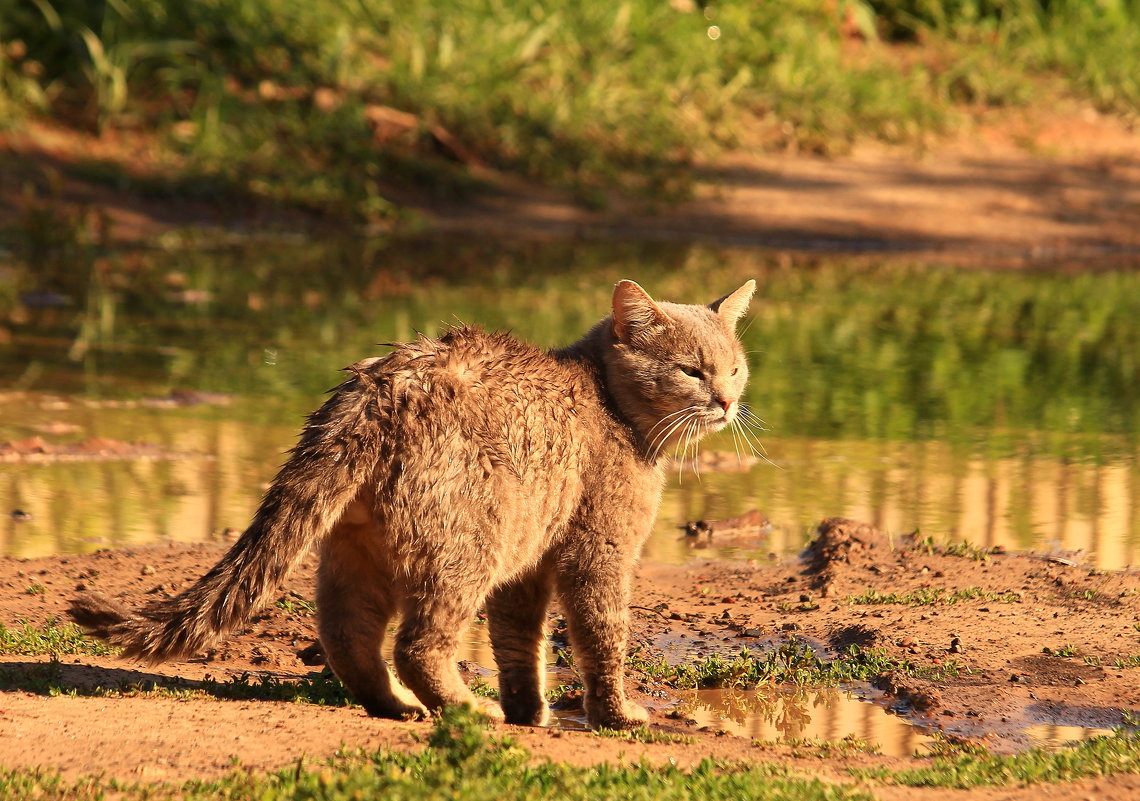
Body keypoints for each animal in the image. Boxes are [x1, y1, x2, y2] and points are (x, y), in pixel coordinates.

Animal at [75, 279, 761, 729]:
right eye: (691, 371)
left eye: (735, 368)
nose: (728, 401)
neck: (610, 403)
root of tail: (380, 385)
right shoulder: (597, 552)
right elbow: (601, 637)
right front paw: (616, 714)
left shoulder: (527, 565)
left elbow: (520, 644)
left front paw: (530, 711)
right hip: (464, 547)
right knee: (418, 644)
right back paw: (462, 707)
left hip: (363, 550)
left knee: (347, 637)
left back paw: (397, 705)